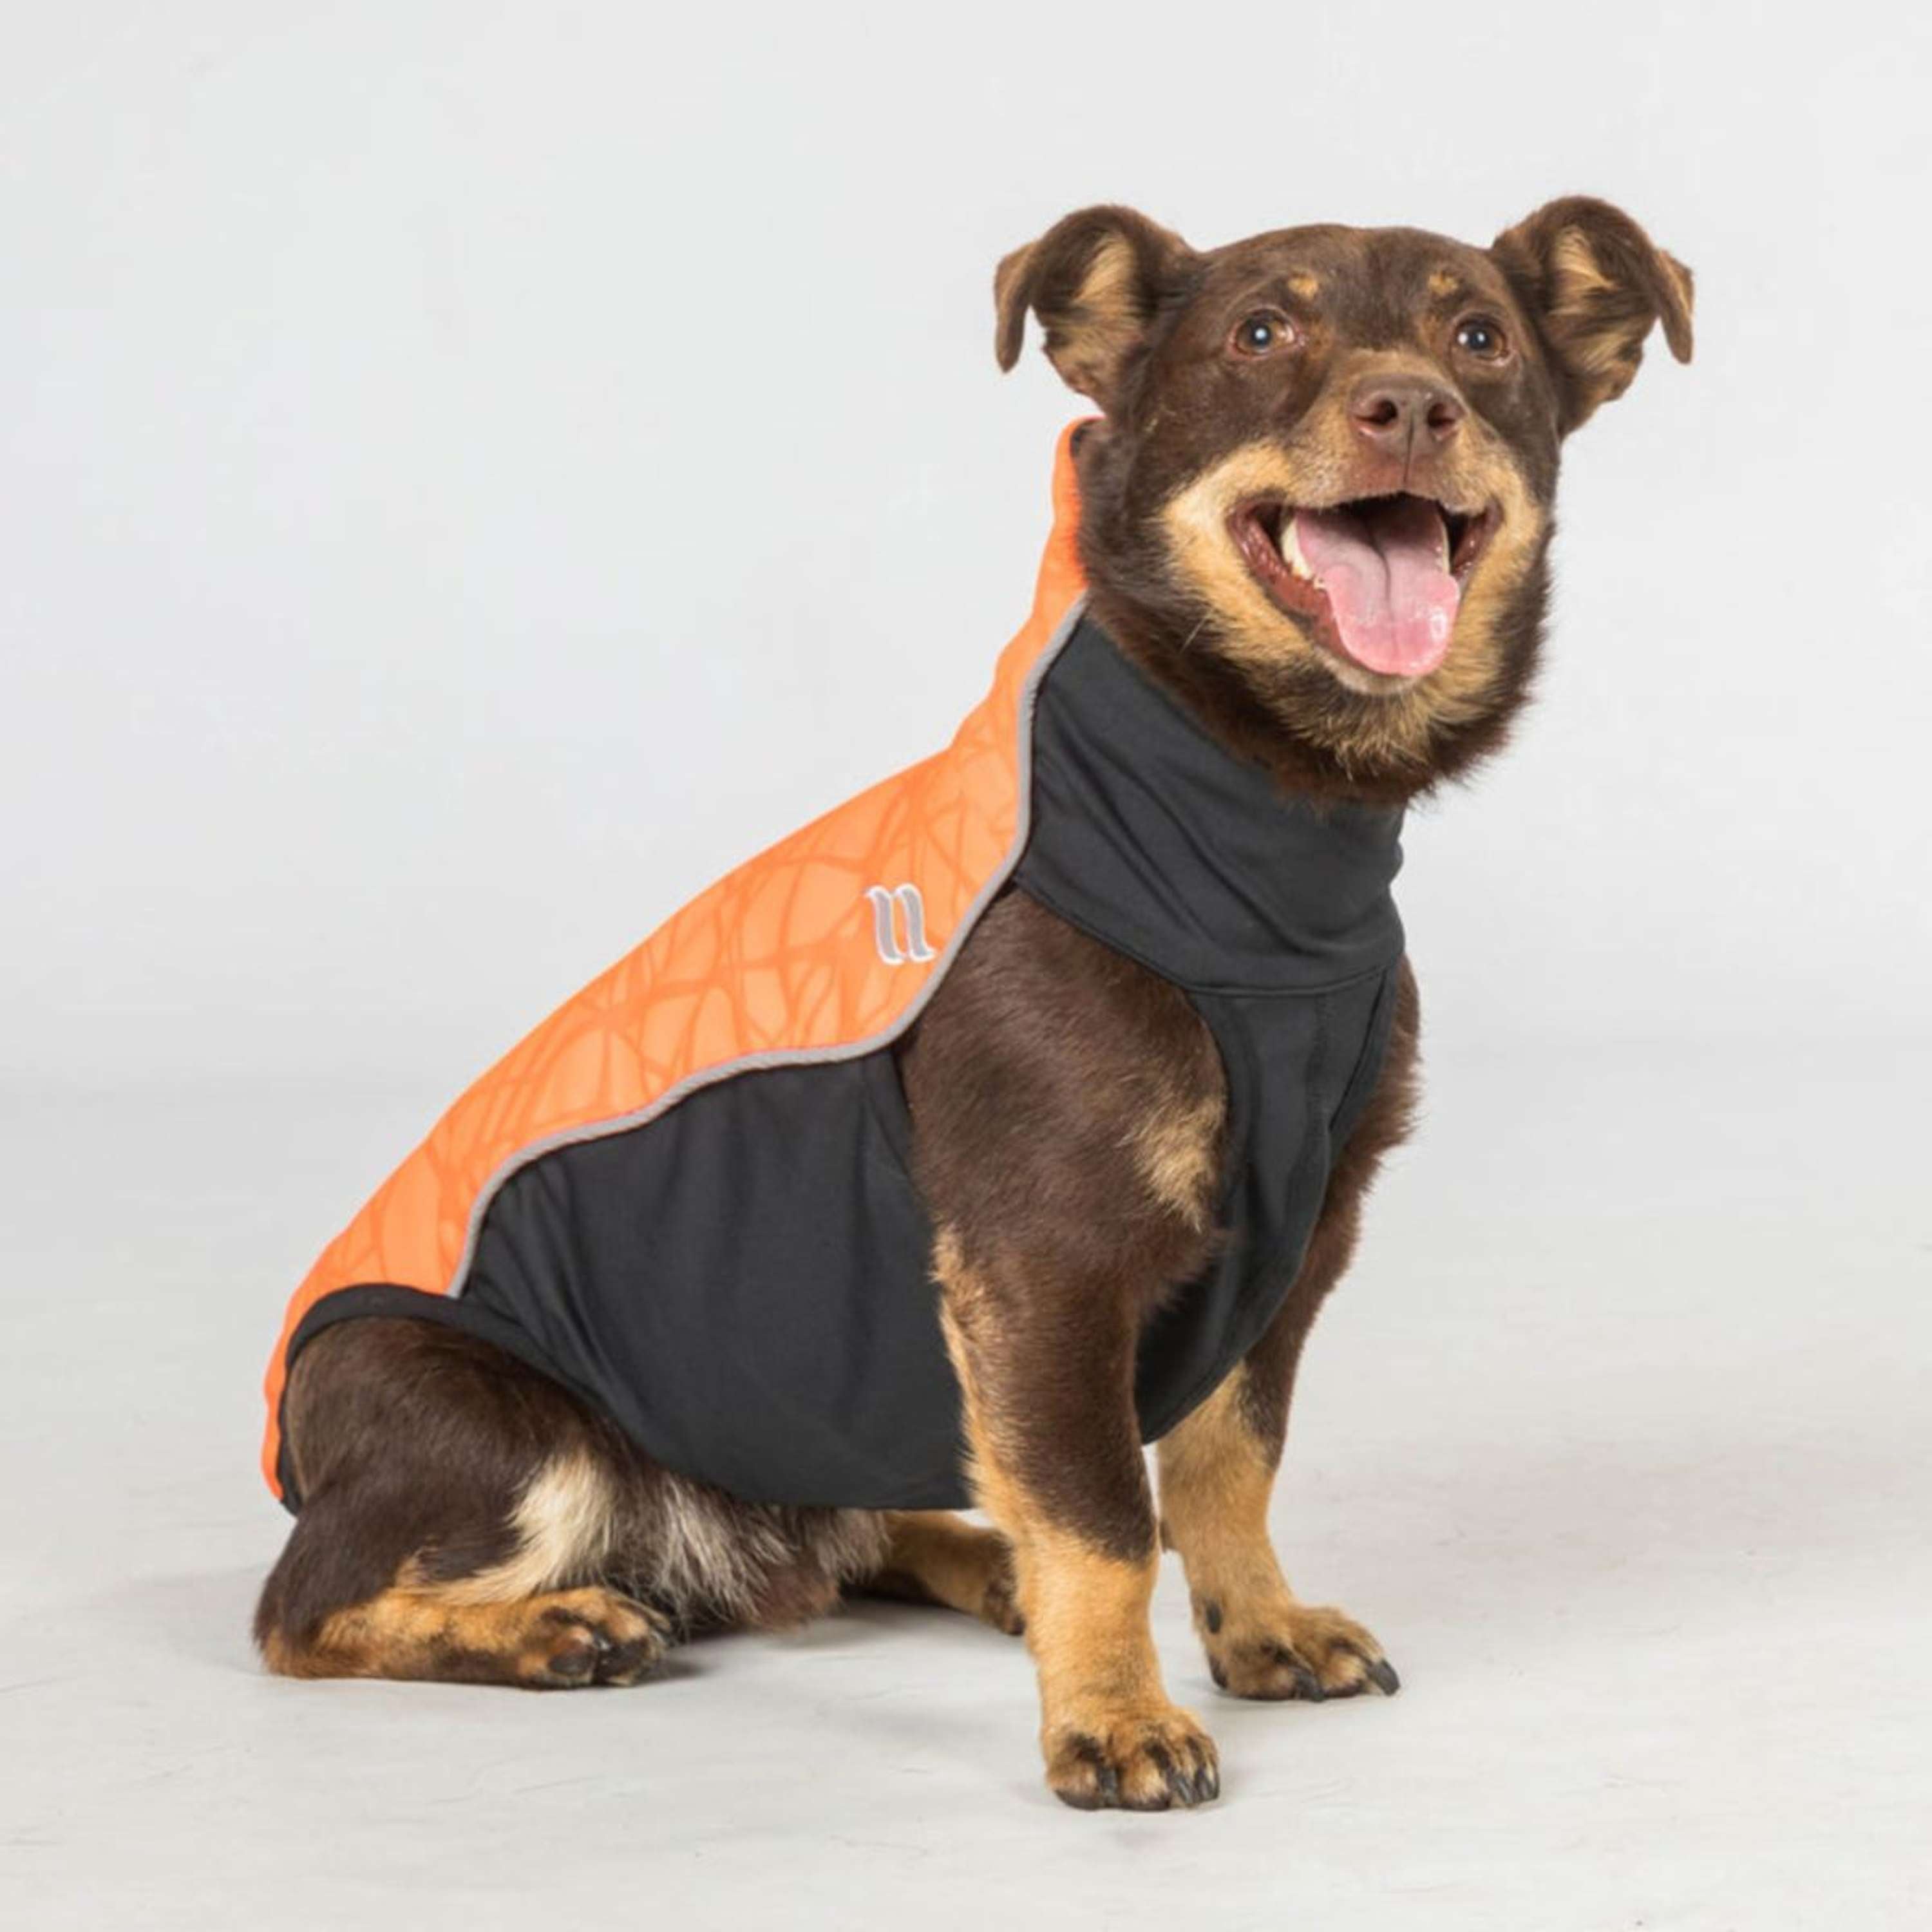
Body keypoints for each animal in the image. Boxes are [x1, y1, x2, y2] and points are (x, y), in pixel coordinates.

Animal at [255, 197, 1693, 1812]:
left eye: (1480, 337)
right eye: (1260, 333)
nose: (1412, 407)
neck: (1263, 841)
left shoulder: (1293, 1246)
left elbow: (1224, 1464)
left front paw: (1251, 1624)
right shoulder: (1045, 1260)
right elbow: (1105, 1513)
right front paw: (1114, 1714)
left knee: (861, 1524)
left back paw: (973, 1560)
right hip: (508, 1437)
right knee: (301, 1609)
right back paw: (550, 1626)